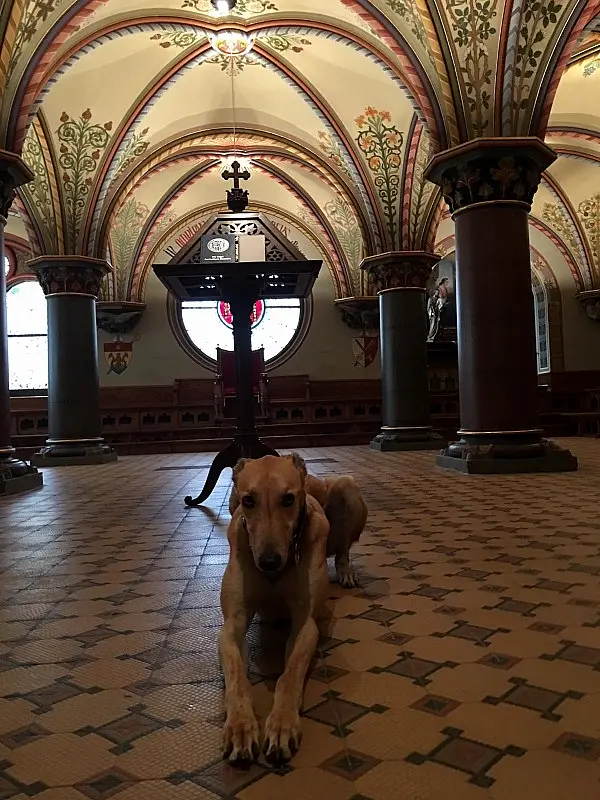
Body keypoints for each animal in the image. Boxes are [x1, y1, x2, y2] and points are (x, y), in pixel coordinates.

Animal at [221, 454, 366, 764]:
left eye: (288, 498)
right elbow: (236, 674)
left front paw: (282, 723)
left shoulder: (305, 623)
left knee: (344, 550)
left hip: (346, 488)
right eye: (249, 500)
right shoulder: (231, 625)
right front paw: (240, 726)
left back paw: (346, 571)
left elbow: (289, 675)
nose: (269, 562)